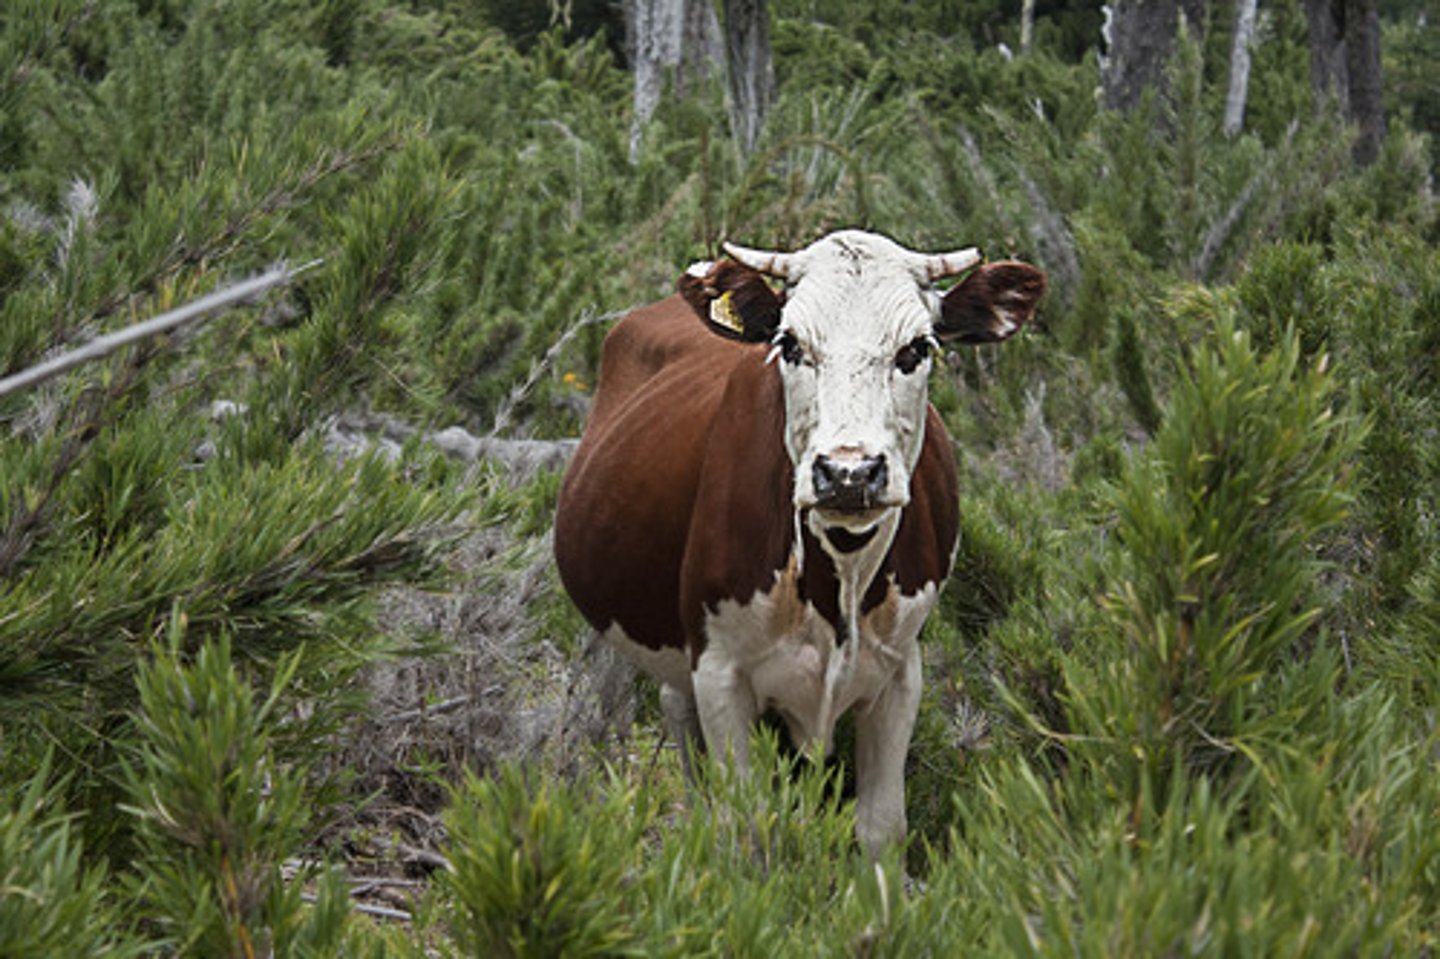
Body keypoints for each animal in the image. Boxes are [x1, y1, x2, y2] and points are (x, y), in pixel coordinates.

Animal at [554, 229, 1045, 855]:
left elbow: (882, 828)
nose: (849, 472)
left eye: (916, 349)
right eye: (790, 344)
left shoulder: (900, 675)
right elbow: (744, 825)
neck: (837, 575)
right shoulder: (719, 674)